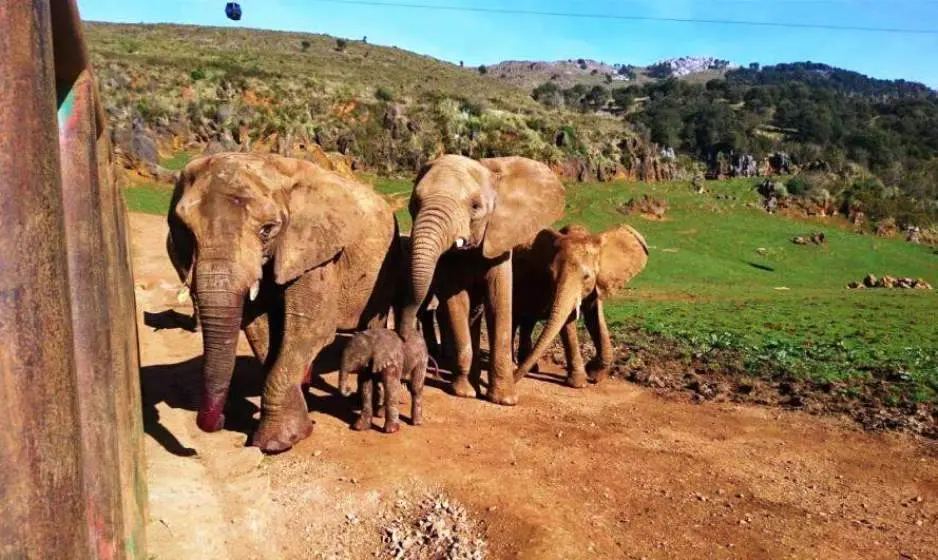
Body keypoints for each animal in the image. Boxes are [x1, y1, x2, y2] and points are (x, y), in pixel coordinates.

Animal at [166, 154, 396, 456]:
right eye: (185, 231)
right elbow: (261, 329)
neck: (273, 168)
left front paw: (275, 443)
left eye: (267, 230)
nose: (221, 420)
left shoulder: (315, 253)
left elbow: (311, 331)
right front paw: (297, 427)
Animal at [396, 155, 564, 404]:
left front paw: (504, 400)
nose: (405, 380)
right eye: (415, 203)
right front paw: (464, 393)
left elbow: (498, 301)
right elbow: (456, 302)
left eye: (475, 207)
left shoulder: (499, 240)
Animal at [508, 223, 648, 384]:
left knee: (527, 321)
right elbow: (568, 322)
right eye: (551, 274)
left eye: (586, 277)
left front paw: (594, 374)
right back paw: (514, 366)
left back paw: (530, 368)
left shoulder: (596, 283)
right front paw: (579, 383)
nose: (513, 381)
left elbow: (595, 319)